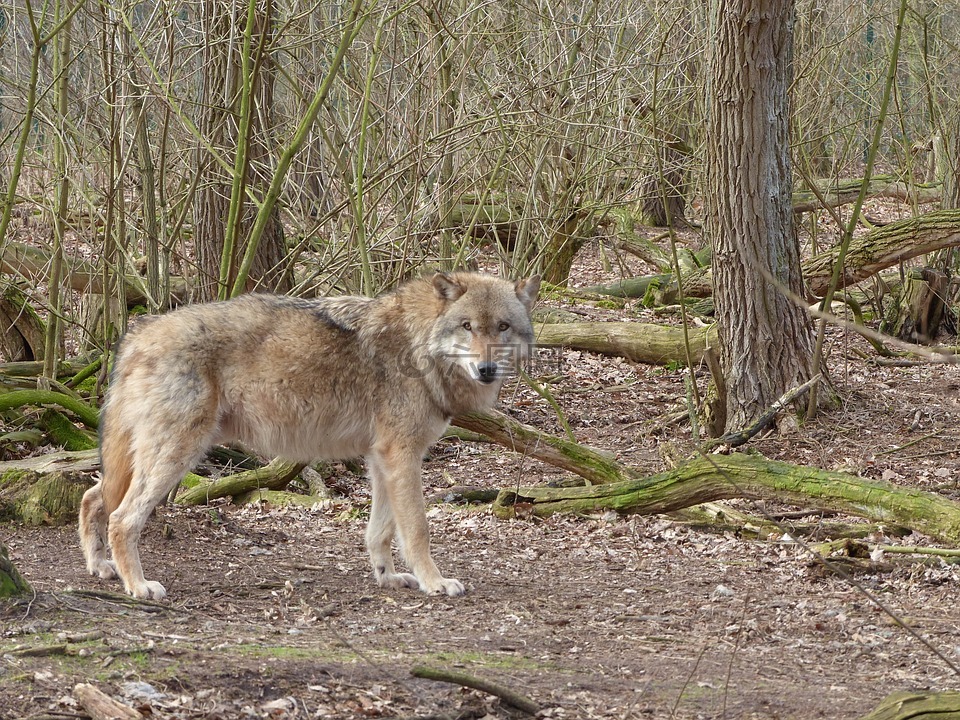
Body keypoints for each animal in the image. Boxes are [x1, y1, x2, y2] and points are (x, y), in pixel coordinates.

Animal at [79, 272, 540, 600]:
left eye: (502, 327)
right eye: (467, 326)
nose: (487, 369)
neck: (418, 345)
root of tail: (138, 333)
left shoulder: (382, 459)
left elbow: (380, 531)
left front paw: (388, 577)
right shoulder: (403, 455)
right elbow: (417, 529)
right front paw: (435, 582)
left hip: (142, 459)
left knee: (92, 497)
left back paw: (100, 568)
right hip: (177, 455)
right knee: (122, 518)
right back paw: (138, 586)